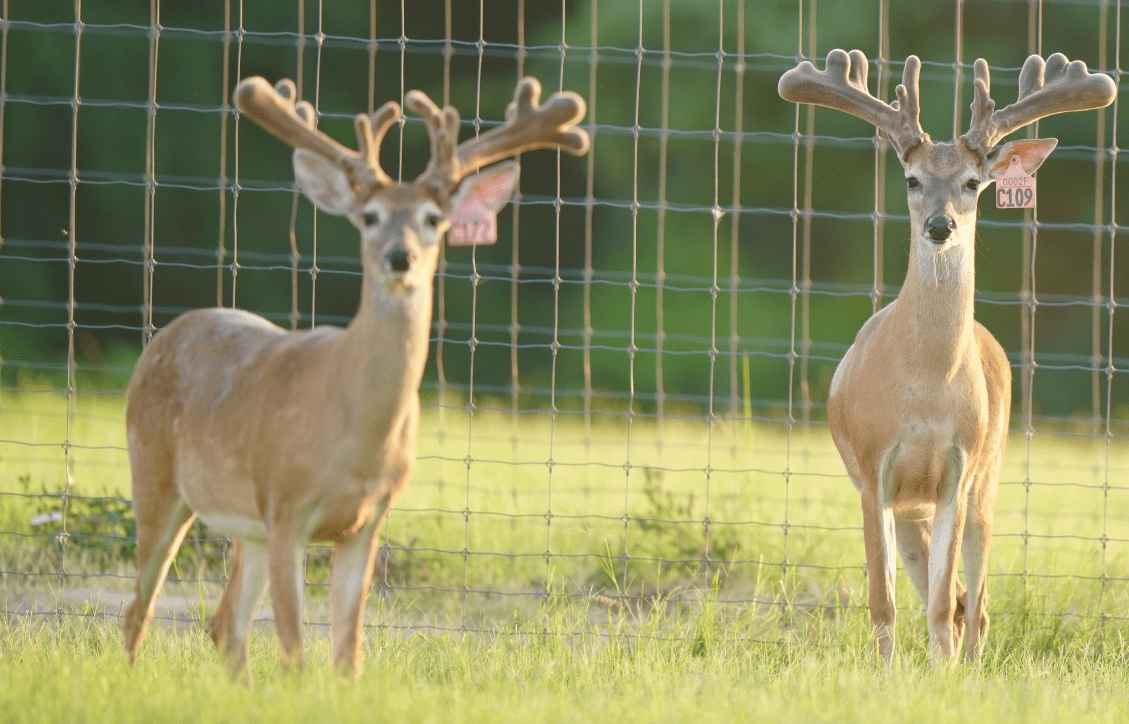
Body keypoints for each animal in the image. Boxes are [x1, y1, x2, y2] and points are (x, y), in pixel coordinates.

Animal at [121, 75, 589, 676]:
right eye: (369, 216)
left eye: (433, 219)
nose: (399, 257)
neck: (356, 436)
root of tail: (166, 332)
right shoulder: (286, 505)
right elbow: (296, 653)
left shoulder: (367, 519)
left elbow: (348, 653)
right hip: (154, 474)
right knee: (140, 609)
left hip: (245, 524)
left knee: (225, 624)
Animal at [779, 50, 1115, 664]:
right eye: (912, 179)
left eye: (973, 182)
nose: (940, 225)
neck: (925, 393)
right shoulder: (873, 472)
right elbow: (883, 604)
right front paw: (886, 676)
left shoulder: (958, 469)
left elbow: (938, 607)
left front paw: (943, 676)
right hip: (912, 508)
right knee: (957, 595)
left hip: (990, 474)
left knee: (973, 602)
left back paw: (972, 666)